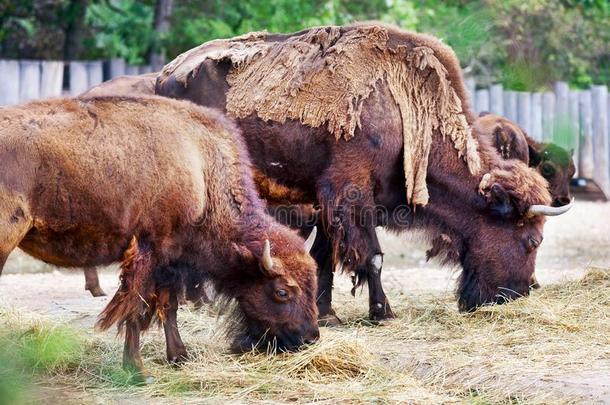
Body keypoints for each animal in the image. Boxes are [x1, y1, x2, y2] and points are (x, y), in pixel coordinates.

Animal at [154, 22, 572, 320]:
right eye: (532, 241)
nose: (516, 295)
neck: (405, 110)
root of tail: (164, 75)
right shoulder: (350, 192)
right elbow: (372, 256)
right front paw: (383, 312)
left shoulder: (327, 201)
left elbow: (323, 255)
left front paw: (327, 313)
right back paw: (196, 301)